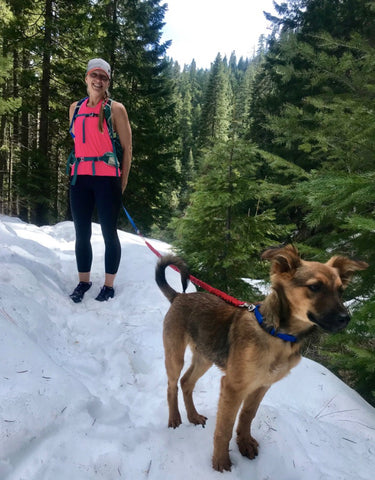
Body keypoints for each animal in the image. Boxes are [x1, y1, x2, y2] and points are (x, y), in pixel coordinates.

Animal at [154, 246, 368, 470]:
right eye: (315, 287)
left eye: (340, 291)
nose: (346, 319)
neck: (278, 335)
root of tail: (179, 296)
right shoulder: (233, 387)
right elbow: (224, 429)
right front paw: (221, 463)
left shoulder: (262, 385)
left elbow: (247, 415)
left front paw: (245, 443)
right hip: (175, 354)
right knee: (172, 385)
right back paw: (175, 419)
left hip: (205, 356)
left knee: (186, 382)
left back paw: (193, 416)